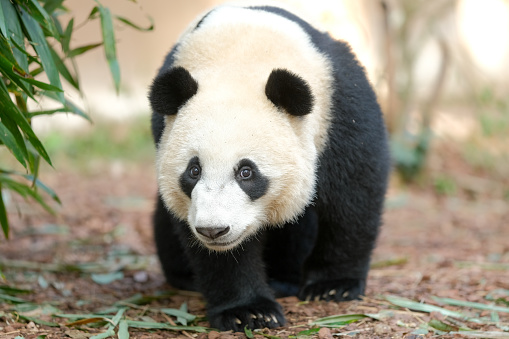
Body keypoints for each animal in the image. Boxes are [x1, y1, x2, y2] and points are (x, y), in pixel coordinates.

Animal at [148, 1, 388, 332]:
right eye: (193, 171)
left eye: (246, 172)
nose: (213, 230)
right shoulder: (165, 131)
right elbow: (217, 249)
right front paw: (248, 311)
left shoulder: (339, 103)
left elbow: (353, 194)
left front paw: (332, 285)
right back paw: (185, 277)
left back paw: (286, 280)